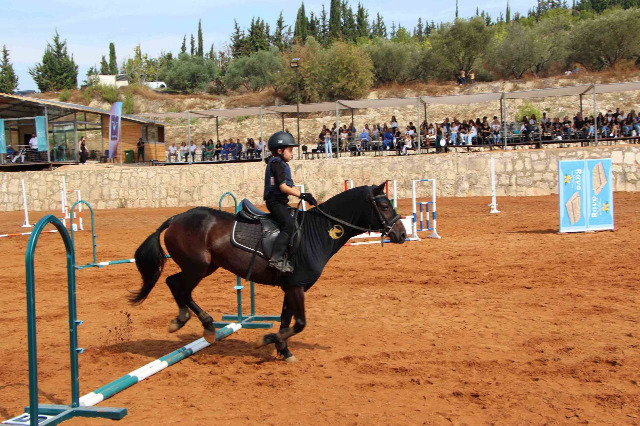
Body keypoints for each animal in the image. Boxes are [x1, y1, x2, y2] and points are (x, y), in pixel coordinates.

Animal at [131, 183, 404, 360]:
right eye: (383, 206)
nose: (401, 234)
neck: (317, 233)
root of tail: (176, 218)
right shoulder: (297, 286)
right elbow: (300, 323)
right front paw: (268, 340)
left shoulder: (292, 287)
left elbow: (285, 320)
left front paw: (283, 349)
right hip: (196, 267)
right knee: (179, 287)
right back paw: (202, 326)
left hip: (204, 267)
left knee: (174, 283)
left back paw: (185, 321)